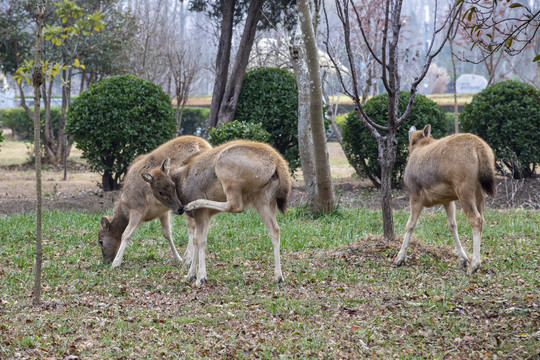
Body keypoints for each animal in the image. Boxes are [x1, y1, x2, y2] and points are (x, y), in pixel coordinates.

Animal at [98, 135, 211, 268]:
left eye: (100, 241)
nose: (106, 261)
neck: (125, 204)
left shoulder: (137, 209)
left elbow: (126, 233)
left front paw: (116, 263)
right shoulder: (163, 212)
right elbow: (167, 233)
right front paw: (177, 258)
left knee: (192, 227)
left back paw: (188, 259)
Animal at [140, 139, 292, 286]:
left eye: (172, 185)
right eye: (160, 192)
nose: (179, 209)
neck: (181, 182)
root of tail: (278, 161)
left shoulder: (201, 215)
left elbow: (200, 241)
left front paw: (201, 277)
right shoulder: (203, 218)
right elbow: (196, 241)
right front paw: (190, 275)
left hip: (227, 174)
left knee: (235, 205)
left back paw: (194, 204)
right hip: (264, 199)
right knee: (275, 230)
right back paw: (278, 276)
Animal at [394, 125, 496, 274]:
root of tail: (480, 148)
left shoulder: (415, 194)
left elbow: (410, 224)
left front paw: (399, 258)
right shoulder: (447, 199)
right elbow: (452, 225)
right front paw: (462, 259)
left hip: (464, 189)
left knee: (475, 219)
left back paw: (474, 265)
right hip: (480, 191)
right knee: (482, 219)